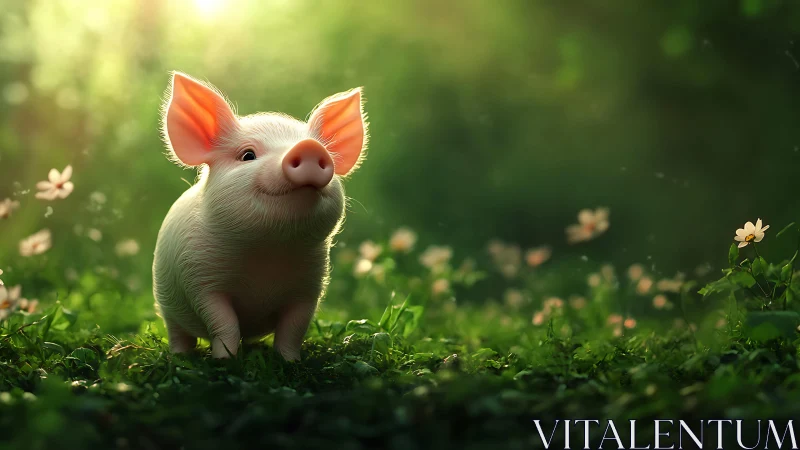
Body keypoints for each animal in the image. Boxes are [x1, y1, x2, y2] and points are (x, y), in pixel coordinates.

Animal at [152, 72, 368, 359]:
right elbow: (223, 323)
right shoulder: (198, 279)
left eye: (322, 149)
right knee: (178, 332)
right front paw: (224, 360)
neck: (267, 253)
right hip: (167, 307)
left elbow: (294, 328)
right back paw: (180, 356)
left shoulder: (310, 287)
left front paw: (289, 361)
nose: (310, 147)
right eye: (248, 155)